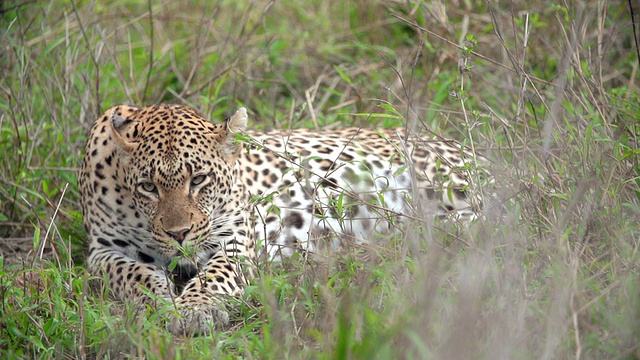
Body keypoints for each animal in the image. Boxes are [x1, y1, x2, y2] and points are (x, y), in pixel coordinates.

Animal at [76, 102, 484, 336]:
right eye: (148, 187)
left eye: (199, 180)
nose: (180, 234)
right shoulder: (103, 251)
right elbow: (134, 274)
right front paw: (161, 298)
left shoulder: (235, 239)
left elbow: (214, 276)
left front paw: (195, 310)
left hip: (444, 183)